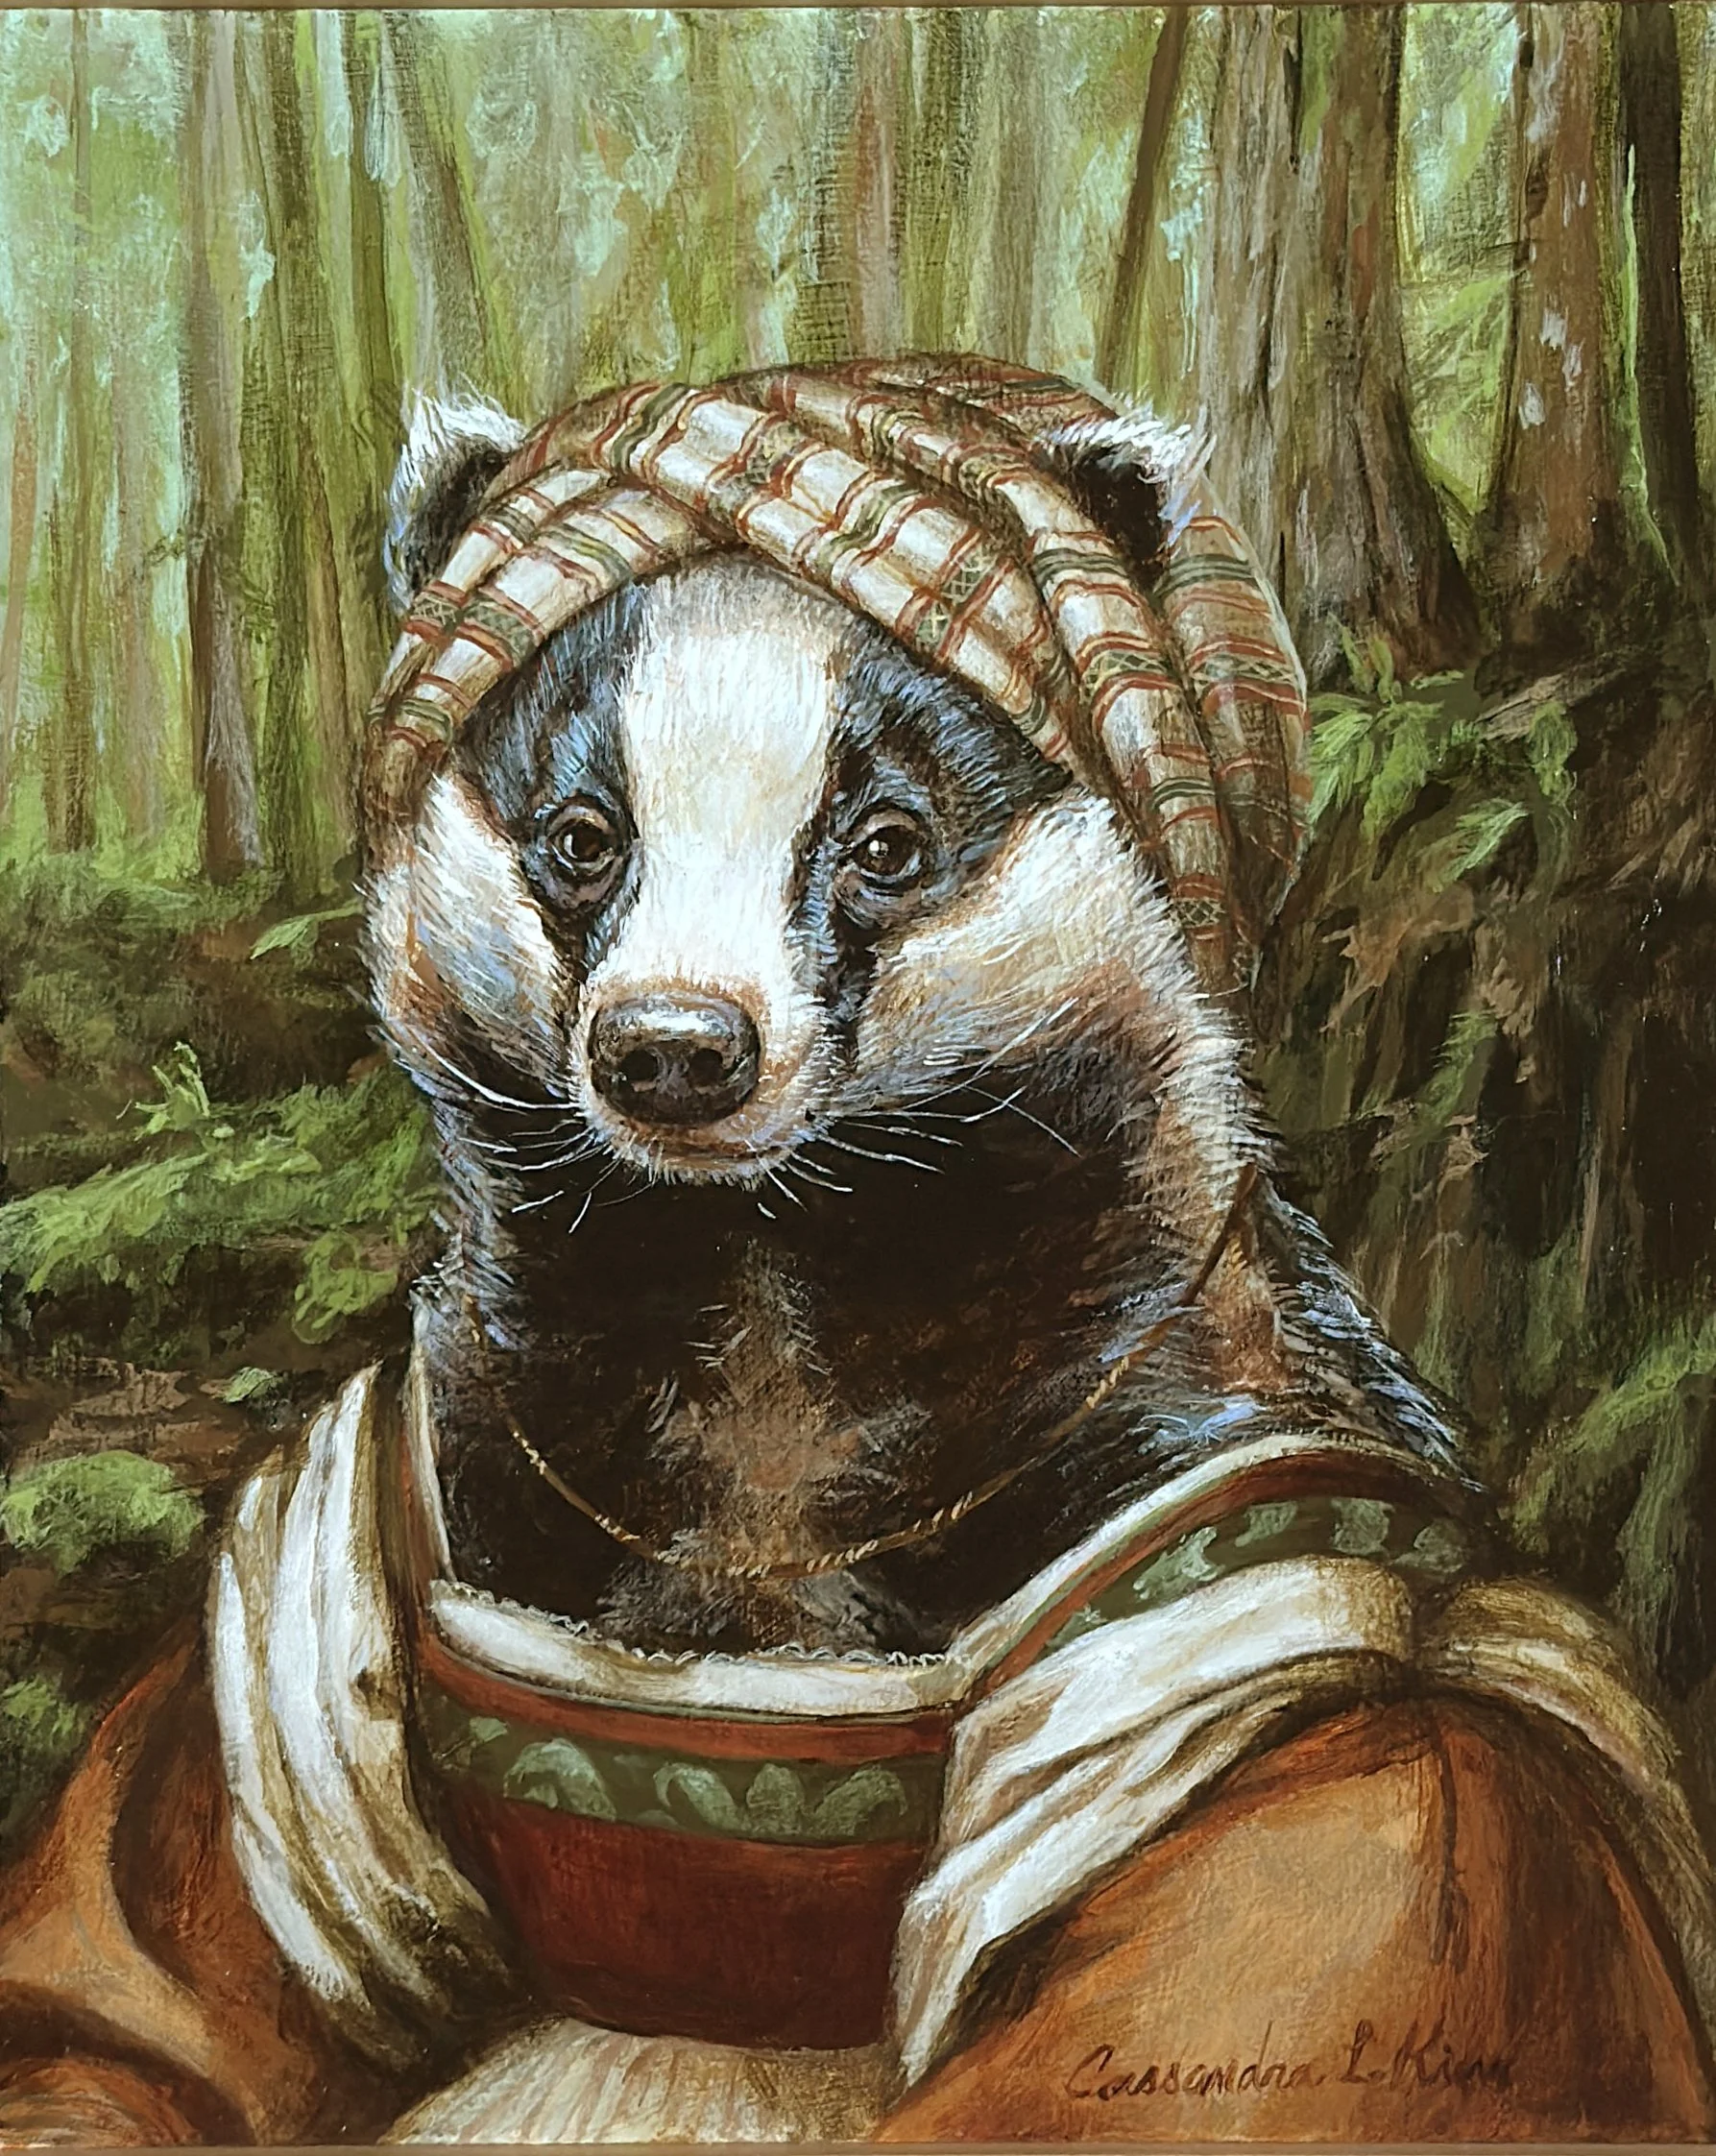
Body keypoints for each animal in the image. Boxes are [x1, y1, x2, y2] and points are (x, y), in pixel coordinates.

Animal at [368, 397, 1465, 1661]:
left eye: (884, 844)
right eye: (581, 836)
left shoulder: (1190, 1375)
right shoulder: (501, 1416)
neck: (763, 1277)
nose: (677, 1045)